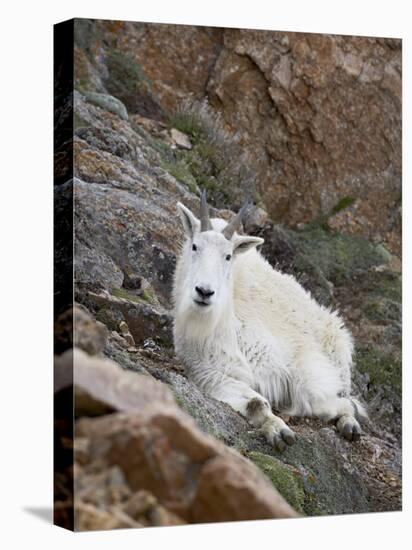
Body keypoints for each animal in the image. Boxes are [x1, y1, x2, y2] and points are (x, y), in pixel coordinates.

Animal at [172, 192, 366, 450]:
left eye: (228, 256)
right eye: (195, 246)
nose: (204, 292)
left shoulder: (298, 365)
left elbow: (314, 397)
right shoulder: (209, 372)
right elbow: (255, 402)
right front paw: (278, 431)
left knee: (345, 400)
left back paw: (349, 425)